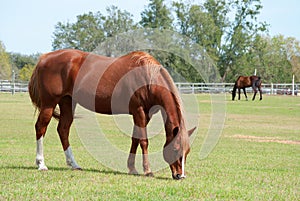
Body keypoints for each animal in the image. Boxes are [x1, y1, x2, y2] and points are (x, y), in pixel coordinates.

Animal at [28, 48, 197, 179]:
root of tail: (44, 58)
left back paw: (74, 164)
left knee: (63, 129)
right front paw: (147, 171)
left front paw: (132, 168)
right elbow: (143, 141)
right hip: (49, 104)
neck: (146, 77)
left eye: (187, 151)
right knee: (40, 127)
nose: (180, 176)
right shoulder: (139, 112)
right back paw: (41, 164)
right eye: (175, 149)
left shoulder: (144, 115)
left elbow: (135, 138)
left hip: (67, 102)